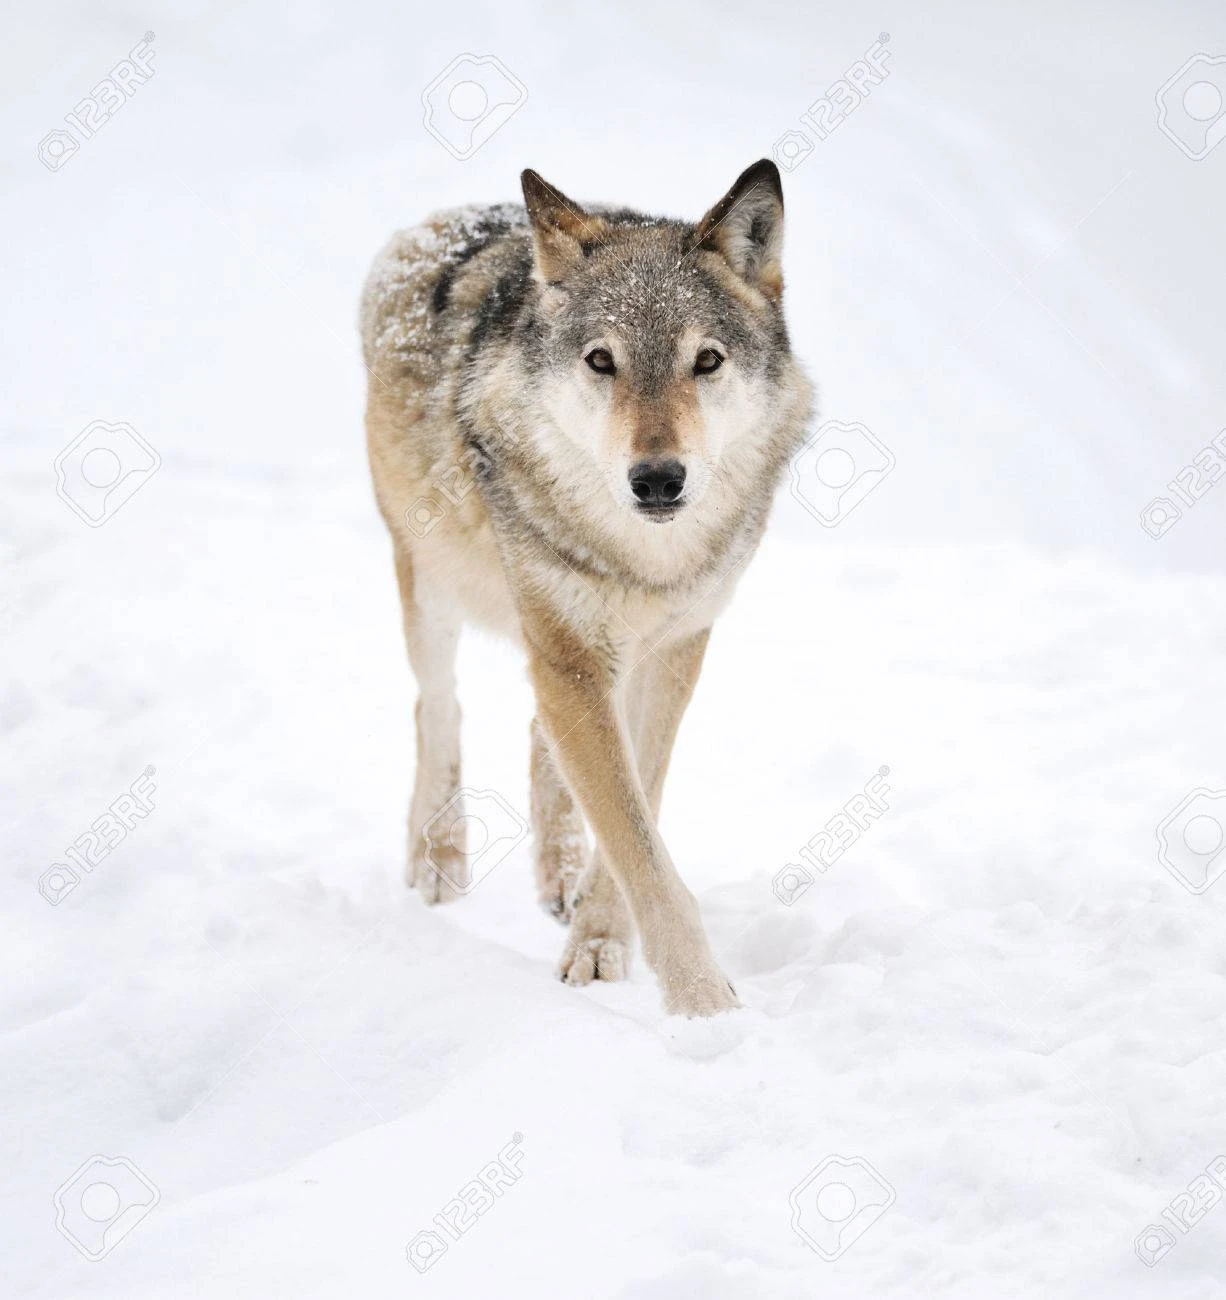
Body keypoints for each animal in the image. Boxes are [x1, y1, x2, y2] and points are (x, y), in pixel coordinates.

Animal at [360, 160, 813, 1017]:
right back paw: (438, 857)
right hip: (431, 581)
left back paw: (560, 880)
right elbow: (637, 841)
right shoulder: (570, 656)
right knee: (436, 705)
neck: (643, 560)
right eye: (602, 361)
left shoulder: (674, 648)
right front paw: (705, 1008)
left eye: (707, 361)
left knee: (539, 737)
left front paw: (601, 937)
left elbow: (639, 809)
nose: (659, 478)